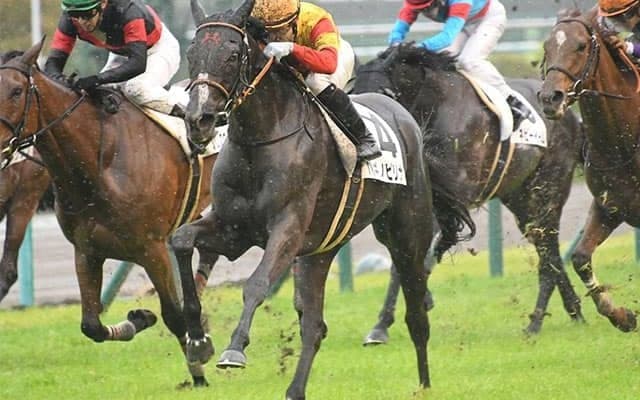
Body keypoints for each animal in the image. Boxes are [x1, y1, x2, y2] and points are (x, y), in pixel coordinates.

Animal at [0, 42, 218, 385]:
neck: (100, 161)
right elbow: (91, 325)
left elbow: (173, 315)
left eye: (17, 90)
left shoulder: (151, 248)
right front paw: (140, 318)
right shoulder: (87, 250)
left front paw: (198, 366)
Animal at [171, 0, 474, 397]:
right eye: (192, 53)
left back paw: (422, 381)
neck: (260, 140)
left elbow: (256, 283)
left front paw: (234, 349)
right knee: (314, 326)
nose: (199, 120)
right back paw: (294, 390)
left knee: (415, 309)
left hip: (405, 233)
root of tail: (404, 115)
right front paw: (197, 342)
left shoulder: (287, 229)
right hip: (320, 251)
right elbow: (180, 241)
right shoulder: (233, 229)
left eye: (233, 54)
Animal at [352, 43, 586, 339]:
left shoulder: (454, 191)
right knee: (547, 247)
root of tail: (572, 116)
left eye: (382, 95)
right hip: (520, 198)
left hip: (549, 188)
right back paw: (573, 310)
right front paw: (387, 320)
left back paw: (536, 322)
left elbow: (415, 253)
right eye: (354, 95)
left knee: (548, 247)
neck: (435, 104)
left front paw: (391, 319)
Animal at [539, 6, 639, 332]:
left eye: (581, 46)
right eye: (547, 47)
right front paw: (621, 315)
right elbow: (580, 257)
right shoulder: (609, 206)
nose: (550, 98)